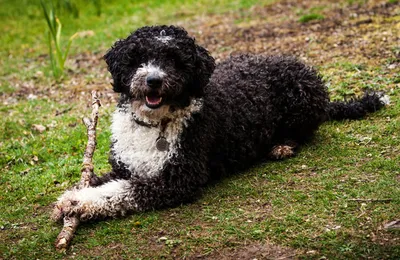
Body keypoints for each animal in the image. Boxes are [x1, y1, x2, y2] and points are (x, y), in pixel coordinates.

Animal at [51, 25, 390, 222]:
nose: (153, 80)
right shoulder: (126, 167)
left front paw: (78, 202)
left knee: (306, 133)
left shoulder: (177, 178)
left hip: (302, 99)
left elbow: (120, 192)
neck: (154, 125)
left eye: (175, 60)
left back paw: (282, 145)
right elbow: (103, 182)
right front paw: (72, 197)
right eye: (138, 57)